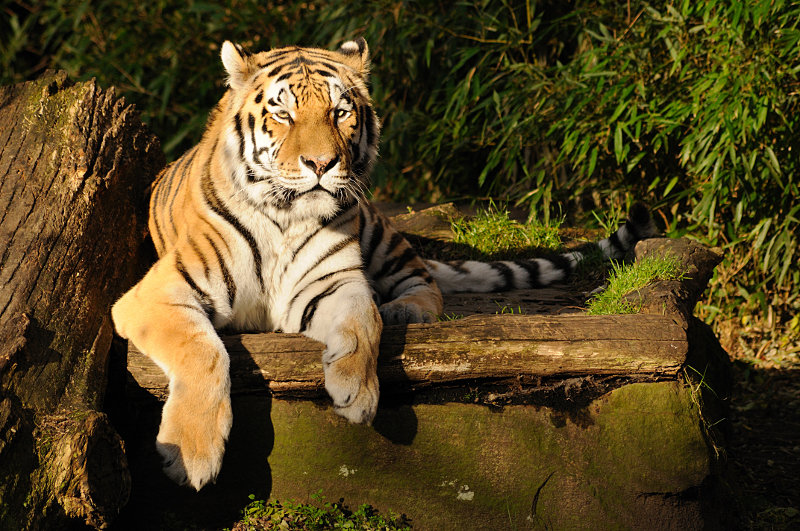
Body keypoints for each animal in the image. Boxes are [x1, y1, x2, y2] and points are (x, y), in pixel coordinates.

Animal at [111, 38, 657, 491]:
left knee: (425, 282)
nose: (321, 164)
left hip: (377, 228)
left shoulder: (332, 284)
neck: (286, 217)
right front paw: (191, 456)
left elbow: (363, 320)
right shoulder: (155, 295)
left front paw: (357, 391)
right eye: (283, 114)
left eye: (340, 112)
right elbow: (204, 351)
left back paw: (403, 309)